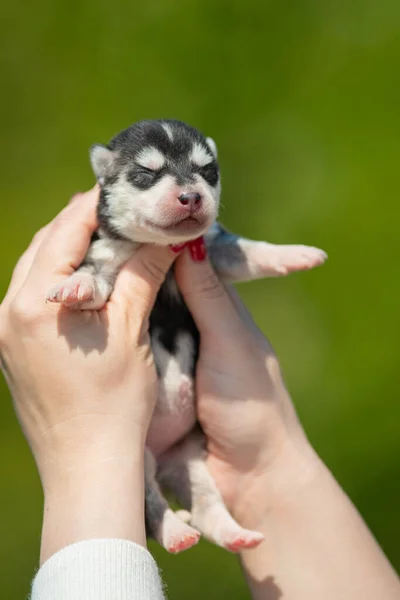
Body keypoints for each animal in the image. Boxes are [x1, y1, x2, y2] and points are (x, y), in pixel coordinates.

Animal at [48, 119, 326, 556]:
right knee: (152, 507)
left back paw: (235, 534)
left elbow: (247, 250)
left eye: (207, 171)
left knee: (208, 508)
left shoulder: (213, 247)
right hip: (139, 462)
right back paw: (175, 533)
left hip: (192, 461)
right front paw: (74, 286)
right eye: (146, 173)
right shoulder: (105, 252)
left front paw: (294, 254)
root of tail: (163, 460)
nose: (191, 196)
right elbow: (92, 274)